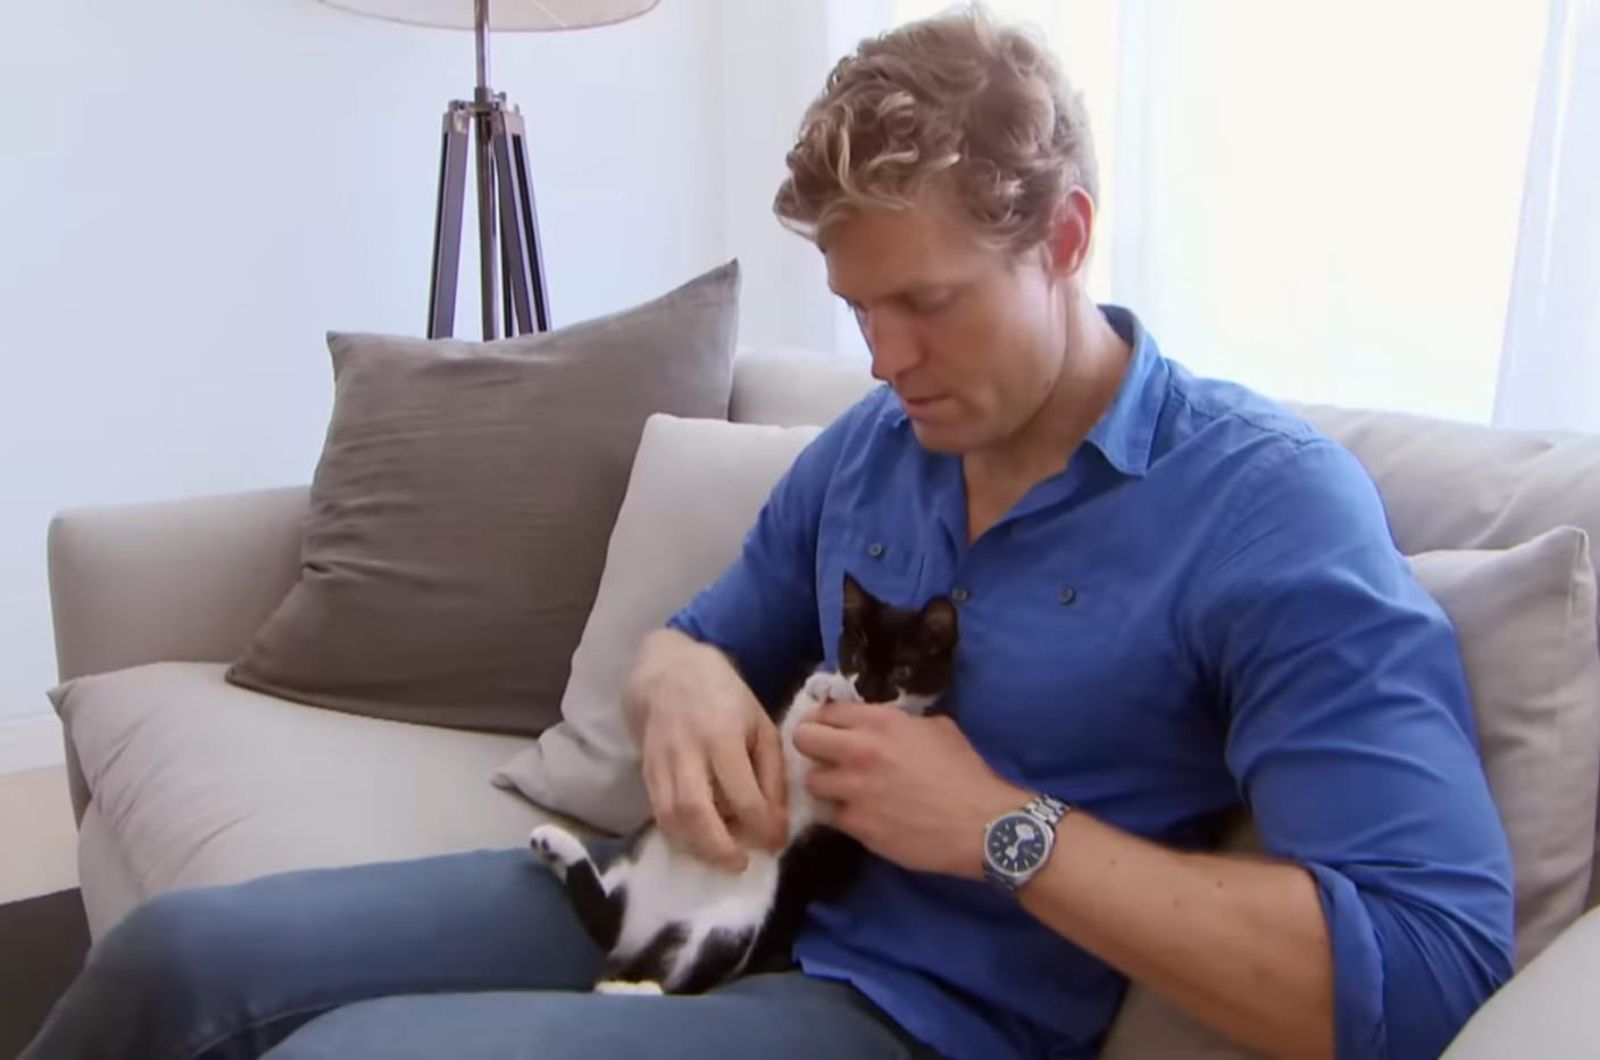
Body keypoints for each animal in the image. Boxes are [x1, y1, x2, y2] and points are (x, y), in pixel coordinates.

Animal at [528, 573, 960, 999]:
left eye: (903, 671)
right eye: (858, 659)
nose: (866, 691)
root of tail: (644, 938)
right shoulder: (783, 743)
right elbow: (795, 721)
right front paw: (826, 685)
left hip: (731, 924)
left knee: (682, 980)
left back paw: (629, 989)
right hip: (636, 871)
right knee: (605, 915)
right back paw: (555, 845)